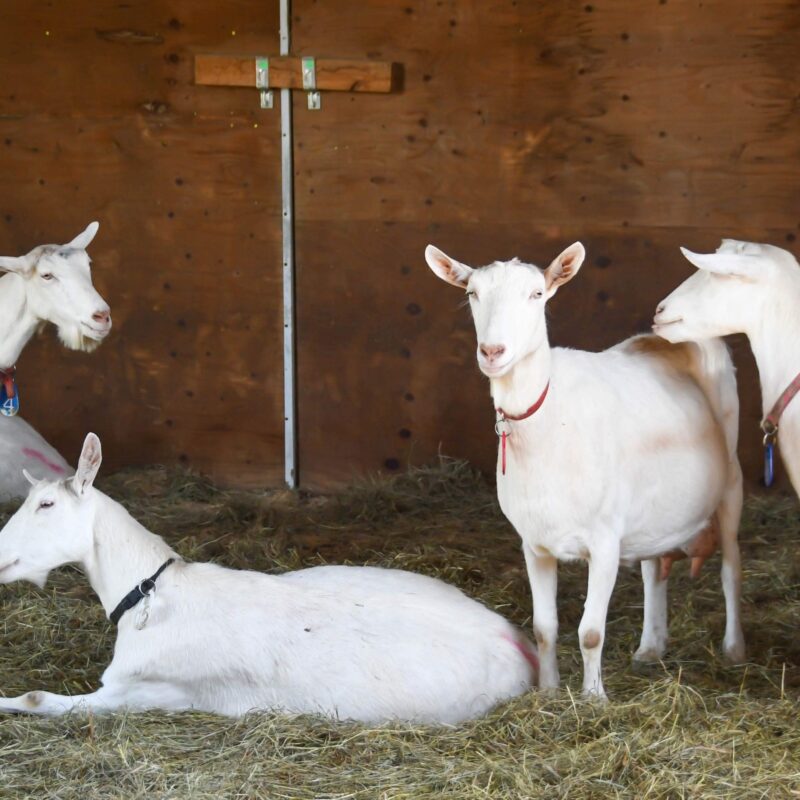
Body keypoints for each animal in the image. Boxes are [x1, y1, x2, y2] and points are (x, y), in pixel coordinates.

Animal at [0, 438, 540, 724]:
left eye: (46, 504)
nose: (1, 551)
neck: (152, 592)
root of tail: (519, 643)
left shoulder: (144, 691)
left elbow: (36, 698)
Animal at [424, 244, 744, 700]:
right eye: (472, 294)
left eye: (537, 294)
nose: (493, 352)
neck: (550, 422)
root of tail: (665, 338)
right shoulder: (534, 543)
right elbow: (544, 627)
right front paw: (548, 691)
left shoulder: (604, 541)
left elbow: (590, 632)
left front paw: (593, 698)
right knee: (653, 567)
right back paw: (650, 647)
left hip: (731, 478)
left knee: (731, 565)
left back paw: (734, 649)